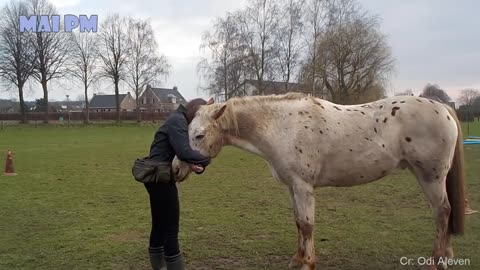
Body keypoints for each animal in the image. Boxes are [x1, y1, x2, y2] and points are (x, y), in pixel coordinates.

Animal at [172, 93, 464, 270]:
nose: (175, 169)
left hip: (431, 178)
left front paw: (308, 263)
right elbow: (298, 223)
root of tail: (442, 108)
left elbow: (308, 225)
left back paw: (436, 261)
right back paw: (447, 256)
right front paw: (297, 258)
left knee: (442, 212)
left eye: (198, 135)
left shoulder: (303, 187)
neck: (282, 127)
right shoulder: (292, 187)